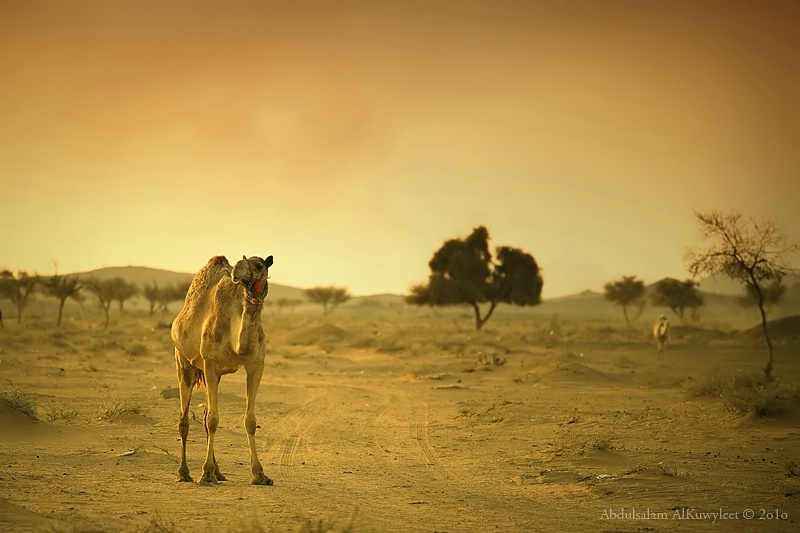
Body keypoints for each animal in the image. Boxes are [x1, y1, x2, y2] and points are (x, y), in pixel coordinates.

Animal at [170, 254, 274, 482]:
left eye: (260, 265)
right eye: (243, 261)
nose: (237, 270)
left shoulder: (256, 364)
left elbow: (249, 421)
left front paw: (260, 474)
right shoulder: (210, 363)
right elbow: (213, 420)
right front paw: (205, 473)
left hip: (212, 375)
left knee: (204, 416)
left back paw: (218, 472)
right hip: (183, 360)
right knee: (184, 420)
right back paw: (184, 473)